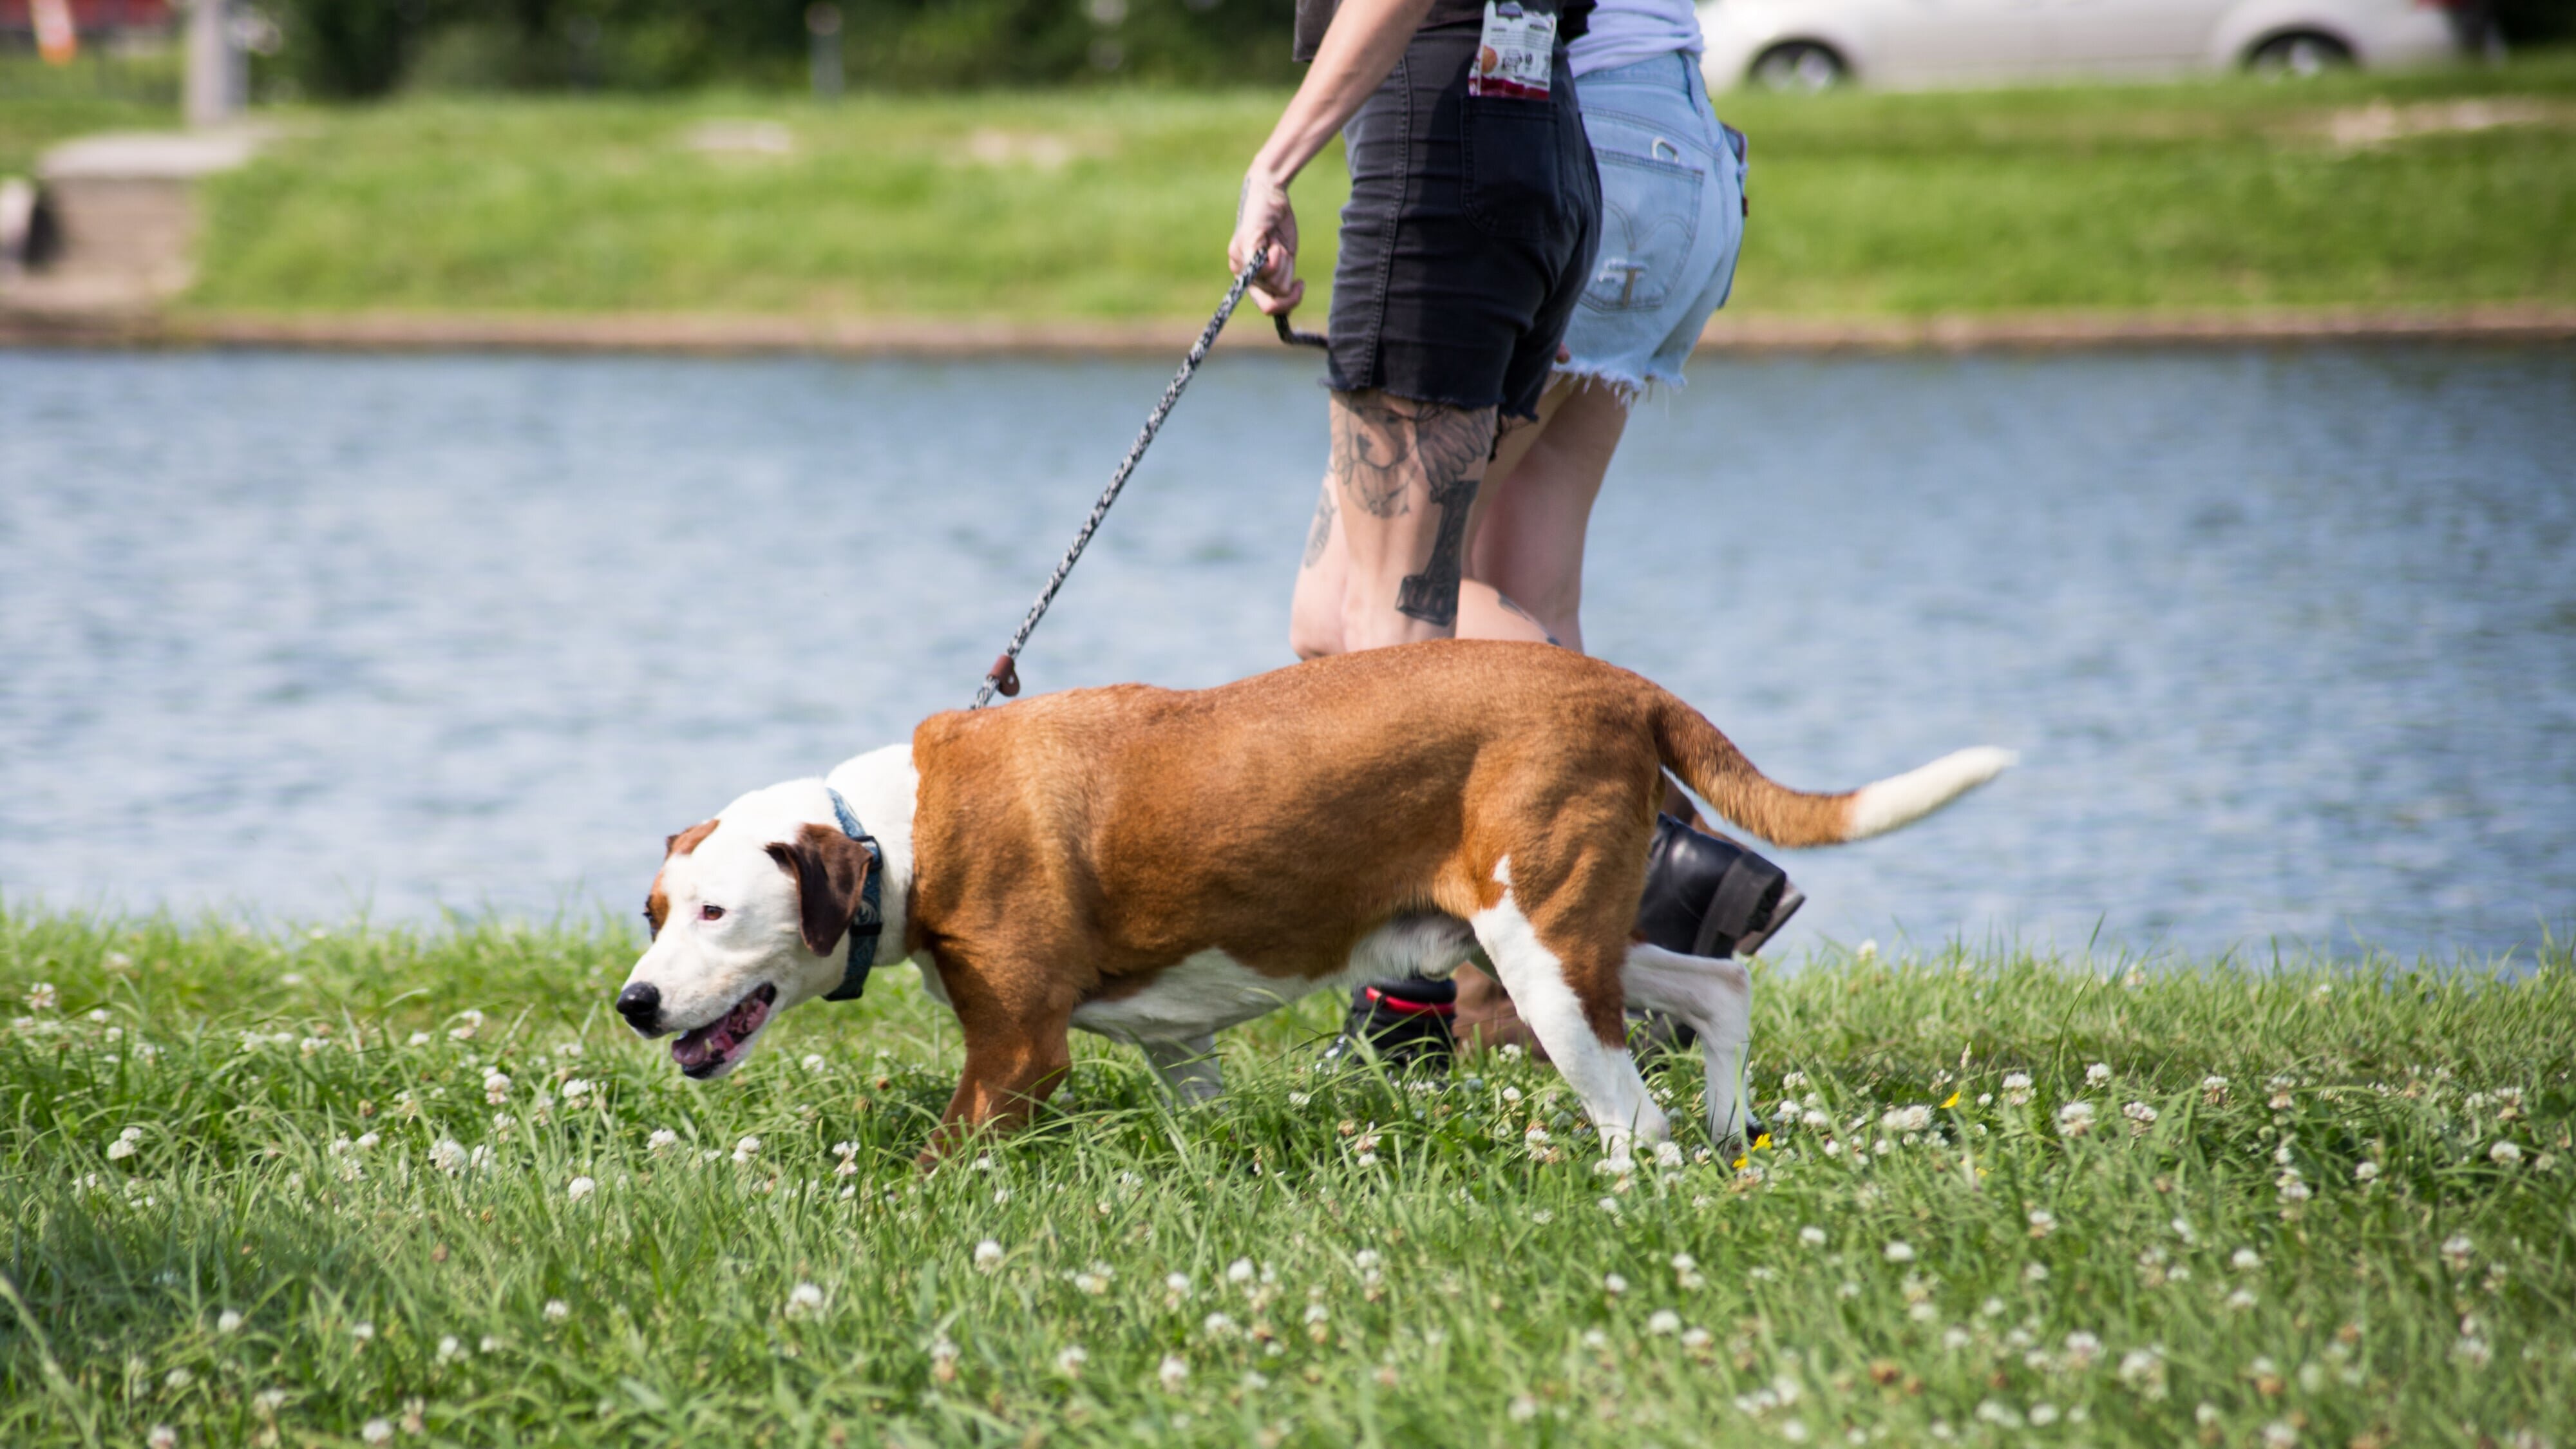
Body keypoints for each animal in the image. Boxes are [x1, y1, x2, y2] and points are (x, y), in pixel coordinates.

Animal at [608, 636, 2009, 1155]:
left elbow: (939, 1160)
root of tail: (1616, 684)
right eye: (654, 914)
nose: (632, 1004)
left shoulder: (1015, 1055)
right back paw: (1731, 1131)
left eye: (718, 914)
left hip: (1545, 963)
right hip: (1537, 936)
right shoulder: (1175, 1049)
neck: (892, 836)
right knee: (1716, 986)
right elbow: (1198, 1116)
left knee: (1631, 1116)